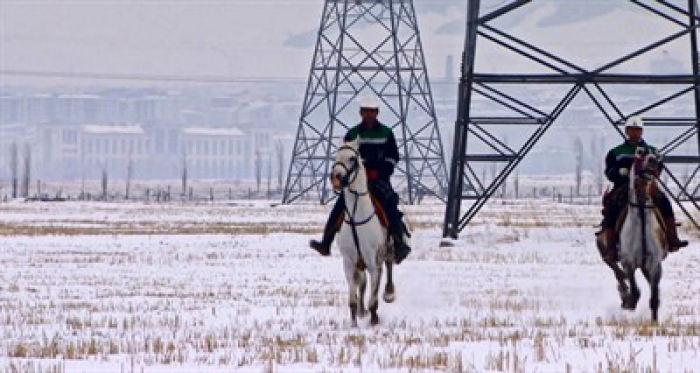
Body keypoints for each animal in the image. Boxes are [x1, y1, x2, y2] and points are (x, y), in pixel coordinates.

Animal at [330, 139, 396, 326]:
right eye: (336, 155)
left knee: (388, 266)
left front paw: (374, 319)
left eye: (352, 158)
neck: (356, 217)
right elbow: (354, 295)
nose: (335, 177)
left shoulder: (373, 261)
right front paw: (354, 322)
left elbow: (374, 291)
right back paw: (361, 311)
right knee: (363, 282)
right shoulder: (349, 262)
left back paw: (389, 293)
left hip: (386, 250)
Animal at [616, 151, 668, 320]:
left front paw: (654, 322)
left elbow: (654, 298)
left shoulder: (654, 265)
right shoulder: (628, 262)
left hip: (647, 268)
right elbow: (634, 290)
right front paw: (628, 302)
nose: (652, 160)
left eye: (654, 154)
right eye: (639, 154)